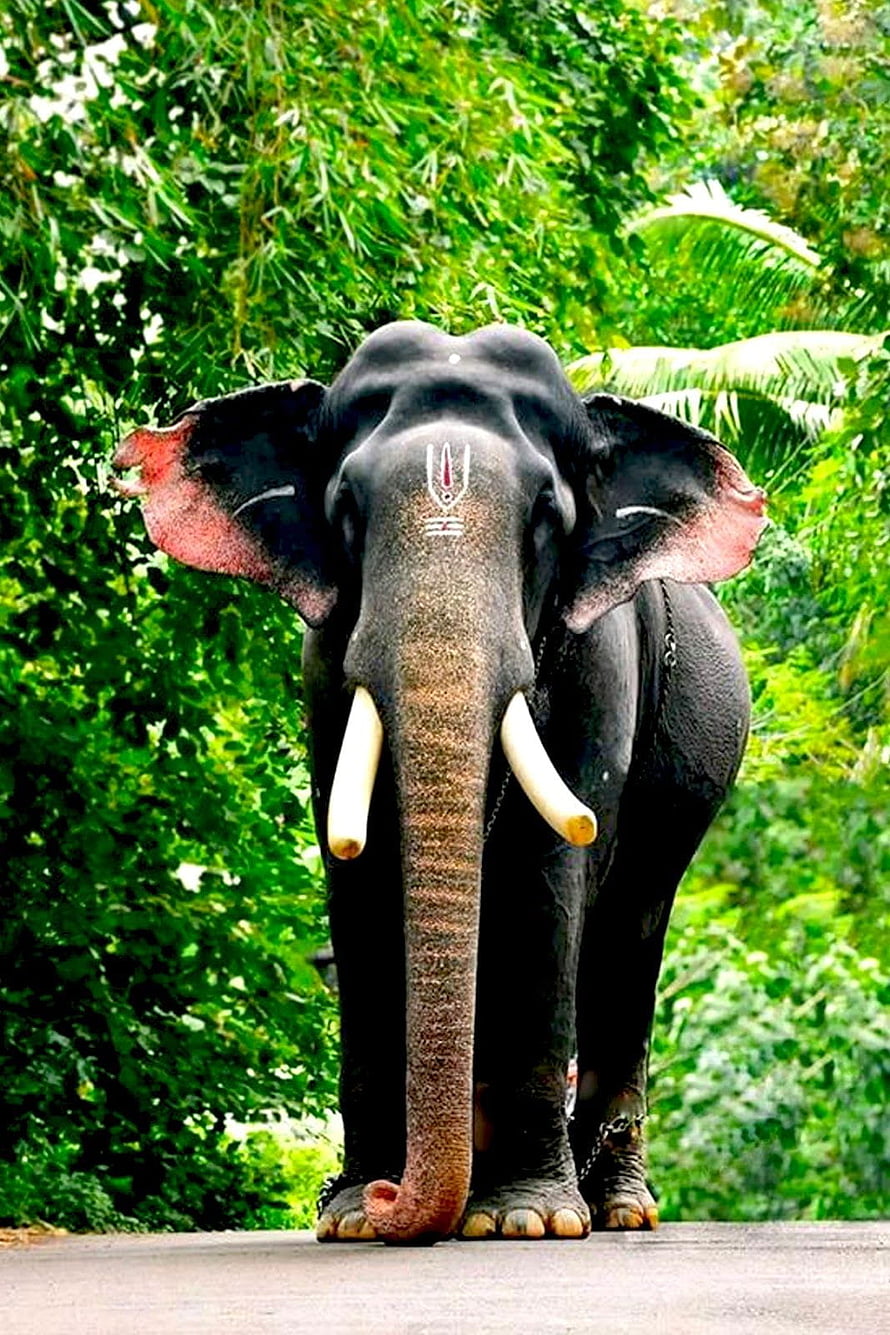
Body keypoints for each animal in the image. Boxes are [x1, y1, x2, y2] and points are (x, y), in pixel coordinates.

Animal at [114, 320, 766, 1245]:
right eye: (346, 506)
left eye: (547, 516)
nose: (391, 1197)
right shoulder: (323, 666)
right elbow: (358, 877)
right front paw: (354, 1215)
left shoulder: (600, 664)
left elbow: (543, 875)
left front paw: (527, 1220)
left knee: (630, 934)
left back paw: (613, 1207)